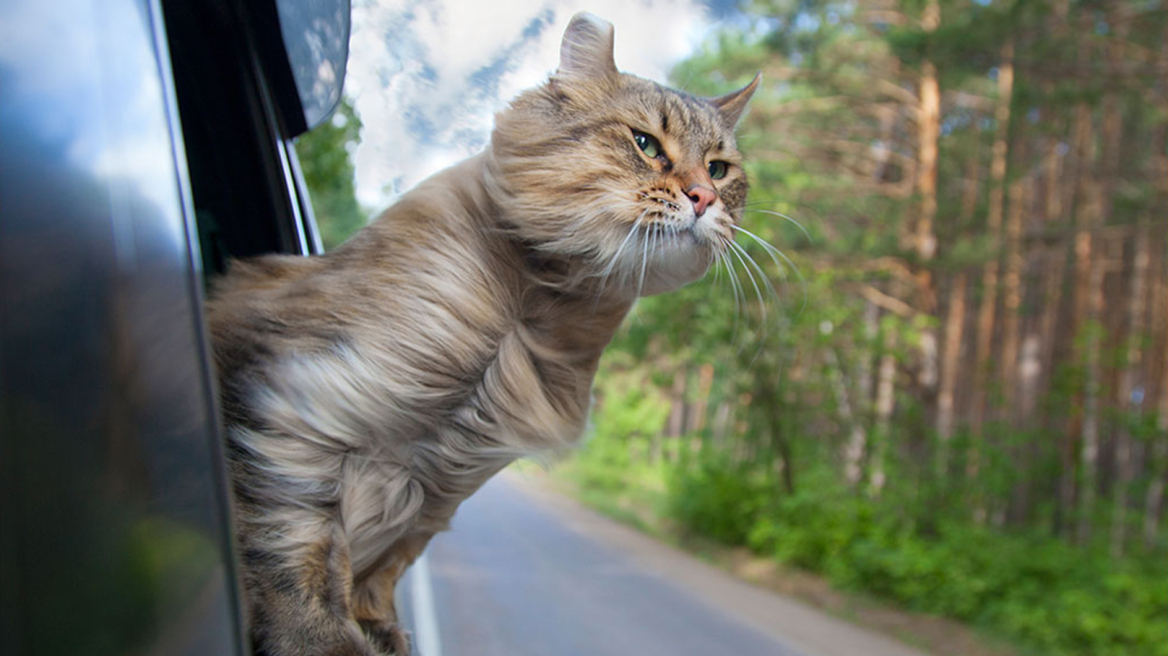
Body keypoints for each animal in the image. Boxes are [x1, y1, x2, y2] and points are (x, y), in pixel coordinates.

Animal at [206, 11, 761, 653]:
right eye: (645, 144)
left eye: (719, 169)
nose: (705, 197)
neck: (527, 315)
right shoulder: (296, 408)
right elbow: (298, 551)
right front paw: (325, 639)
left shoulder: (442, 485)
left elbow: (384, 566)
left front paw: (379, 628)